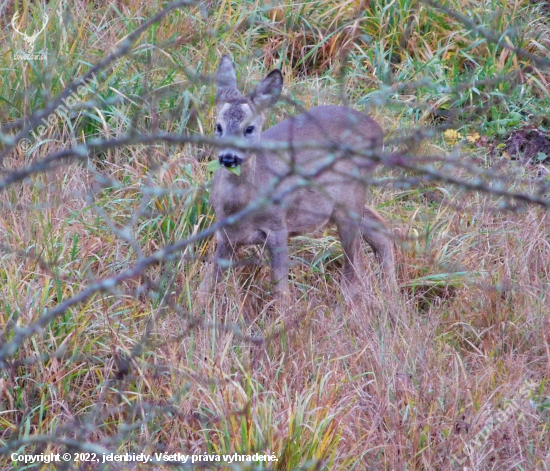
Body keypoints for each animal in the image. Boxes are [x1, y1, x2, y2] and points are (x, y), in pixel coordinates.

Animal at [203, 56, 396, 306]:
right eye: (218, 126)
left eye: (249, 128)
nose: (228, 158)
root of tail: (378, 130)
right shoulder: (225, 236)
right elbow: (208, 284)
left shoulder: (278, 228)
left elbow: (281, 291)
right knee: (377, 226)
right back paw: (392, 293)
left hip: (351, 195)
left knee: (355, 263)